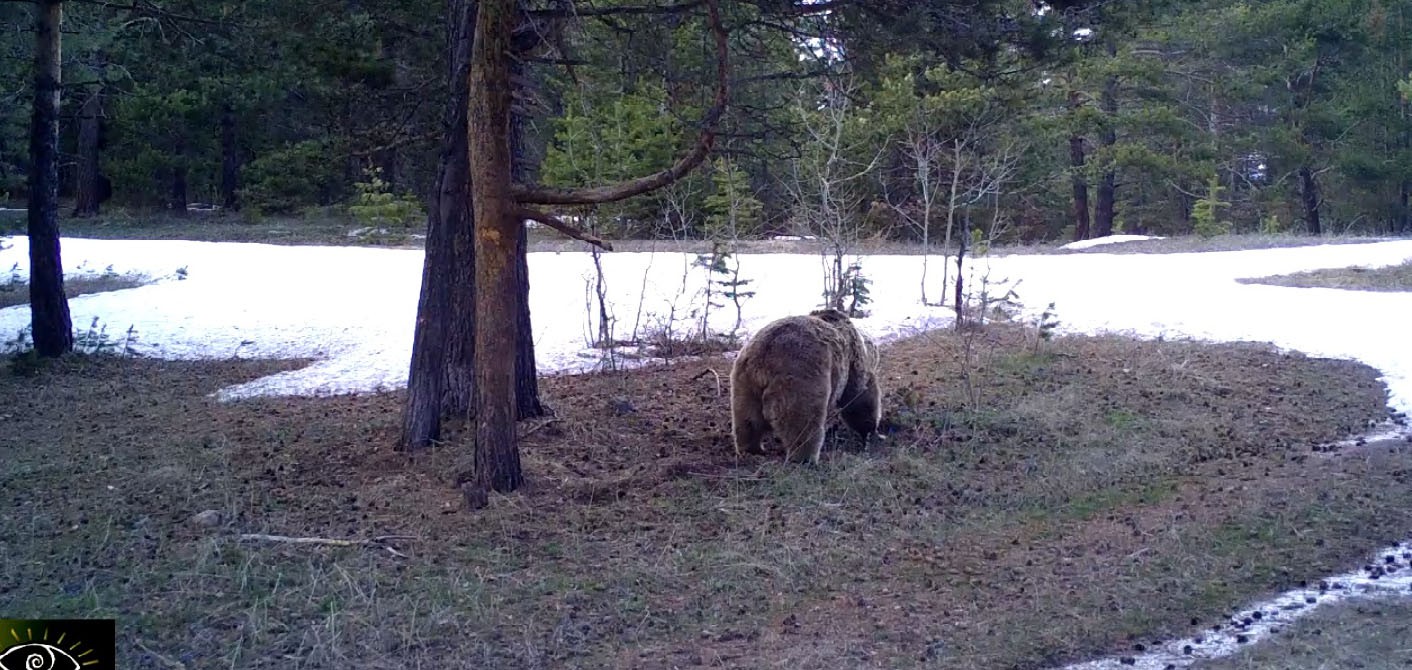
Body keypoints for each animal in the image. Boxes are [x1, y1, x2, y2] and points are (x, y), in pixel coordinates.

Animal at [734, 307, 875, 462]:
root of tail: (765, 357)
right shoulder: (852, 364)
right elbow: (858, 397)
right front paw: (868, 430)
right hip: (800, 376)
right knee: (803, 423)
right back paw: (806, 457)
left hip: (745, 381)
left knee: (748, 419)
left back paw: (752, 449)